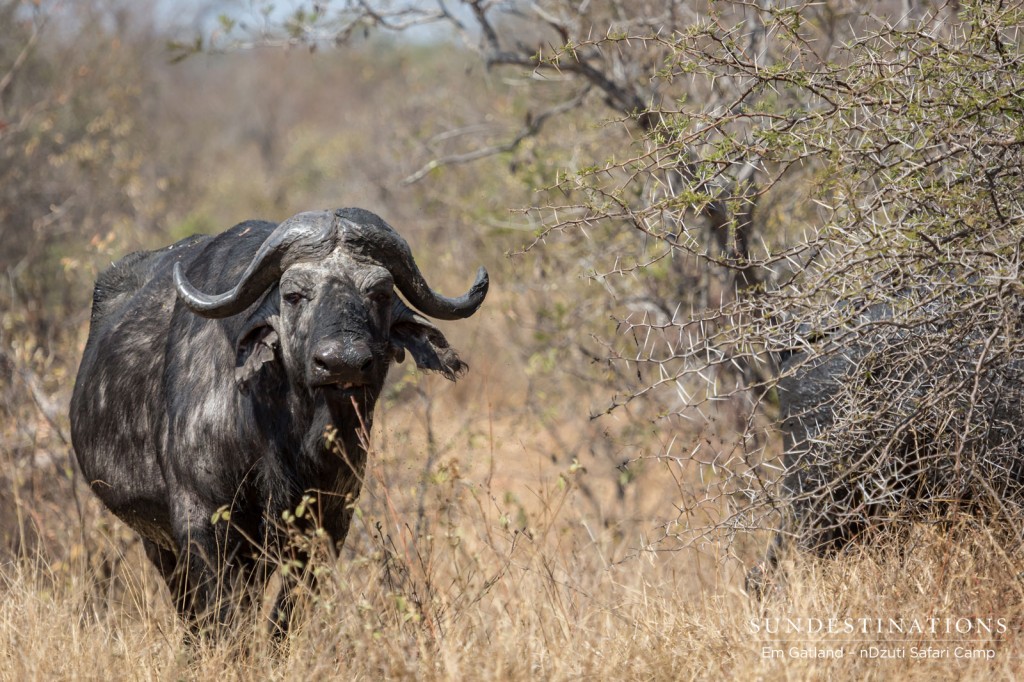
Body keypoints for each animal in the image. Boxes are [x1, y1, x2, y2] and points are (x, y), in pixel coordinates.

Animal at [71, 206, 487, 630]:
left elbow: (286, 614)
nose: (343, 362)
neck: (281, 432)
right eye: (293, 295)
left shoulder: (327, 524)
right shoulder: (200, 520)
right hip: (157, 541)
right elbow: (219, 615)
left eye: (380, 293)